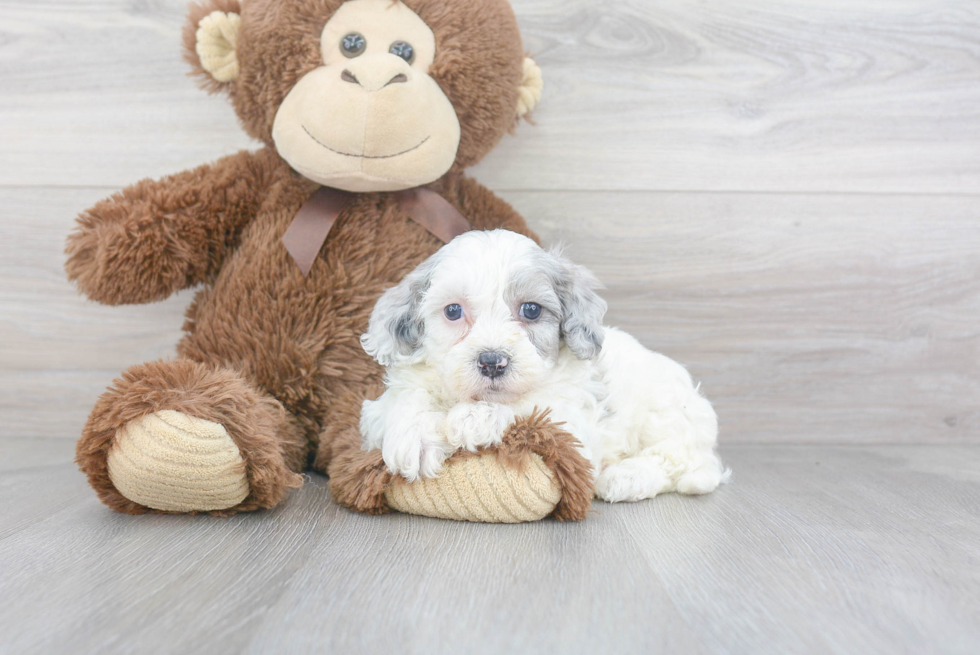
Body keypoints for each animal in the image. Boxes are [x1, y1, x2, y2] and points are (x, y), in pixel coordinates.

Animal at [360, 231, 728, 502]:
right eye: (453, 311)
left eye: (532, 310)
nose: (492, 361)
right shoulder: (384, 408)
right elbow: (406, 400)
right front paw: (416, 435)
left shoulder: (574, 430)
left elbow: (533, 410)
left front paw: (477, 418)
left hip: (667, 411)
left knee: (679, 460)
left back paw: (626, 477)